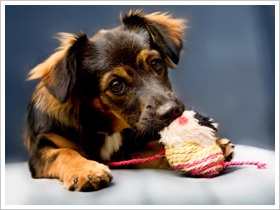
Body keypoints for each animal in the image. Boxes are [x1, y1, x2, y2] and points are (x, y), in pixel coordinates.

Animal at [24, 10, 235, 192]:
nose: (172, 111)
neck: (104, 125)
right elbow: (63, 153)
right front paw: (86, 170)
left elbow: (157, 149)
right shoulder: (43, 148)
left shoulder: (132, 148)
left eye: (156, 64)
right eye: (116, 85)